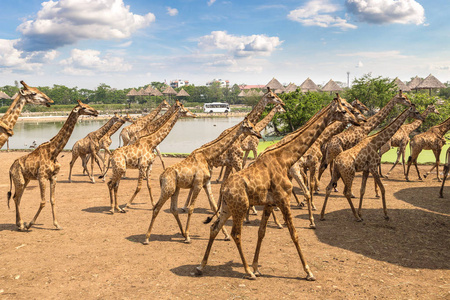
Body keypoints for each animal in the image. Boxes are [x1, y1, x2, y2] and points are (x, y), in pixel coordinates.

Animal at [6, 100, 99, 230]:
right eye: (84, 107)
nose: (96, 112)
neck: (54, 152)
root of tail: (10, 169)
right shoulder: (42, 177)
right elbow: (43, 201)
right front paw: (30, 224)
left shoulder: (53, 177)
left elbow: (53, 200)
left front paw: (57, 224)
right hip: (19, 180)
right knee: (16, 197)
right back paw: (22, 224)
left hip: (26, 180)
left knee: (17, 198)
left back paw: (19, 224)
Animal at [142, 116, 262, 244]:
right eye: (250, 127)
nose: (259, 135)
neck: (206, 155)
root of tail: (161, 177)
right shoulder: (198, 184)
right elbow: (191, 209)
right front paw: (188, 237)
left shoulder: (206, 183)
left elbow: (214, 206)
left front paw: (226, 235)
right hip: (167, 189)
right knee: (156, 208)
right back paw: (147, 238)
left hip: (175, 189)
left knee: (173, 209)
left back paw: (182, 233)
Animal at [195, 97, 360, 280]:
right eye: (344, 110)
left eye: (350, 107)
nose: (357, 120)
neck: (285, 159)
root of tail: (224, 189)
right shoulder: (283, 199)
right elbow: (294, 234)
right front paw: (308, 271)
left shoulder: (269, 203)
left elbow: (261, 232)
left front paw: (257, 267)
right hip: (240, 207)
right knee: (236, 234)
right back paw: (247, 272)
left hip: (227, 207)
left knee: (214, 228)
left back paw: (201, 267)